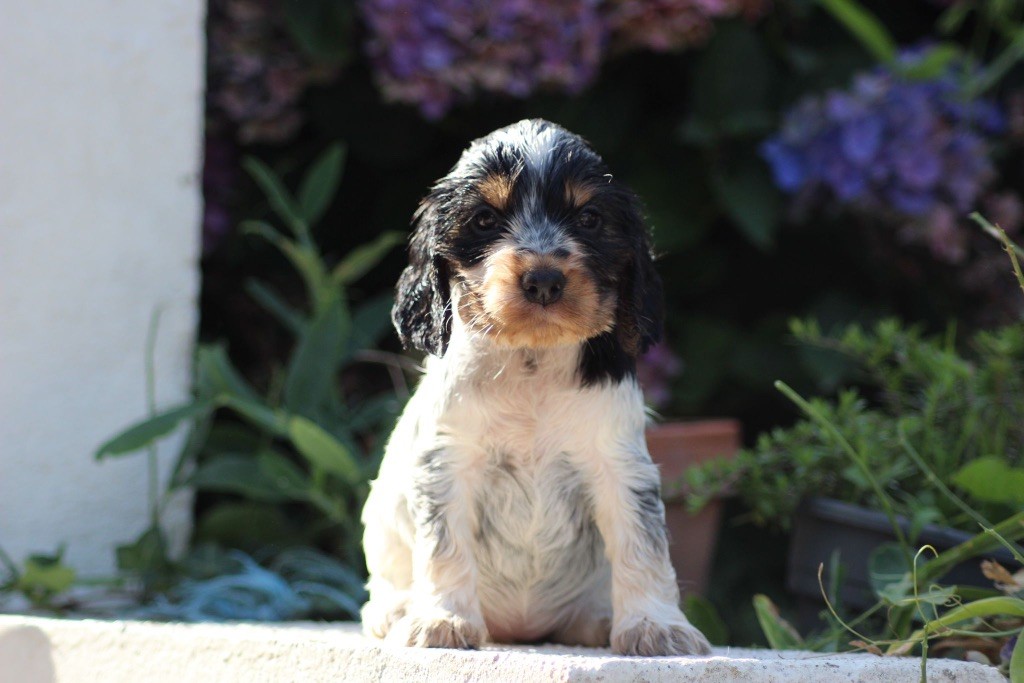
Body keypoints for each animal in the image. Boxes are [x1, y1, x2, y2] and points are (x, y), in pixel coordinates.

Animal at [362, 118, 712, 655]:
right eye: (484, 220)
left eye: (589, 218)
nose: (545, 280)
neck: (532, 363)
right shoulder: (448, 463)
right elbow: (444, 546)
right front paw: (442, 620)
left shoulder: (620, 465)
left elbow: (643, 546)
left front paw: (656, 626)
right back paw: (396, 610)